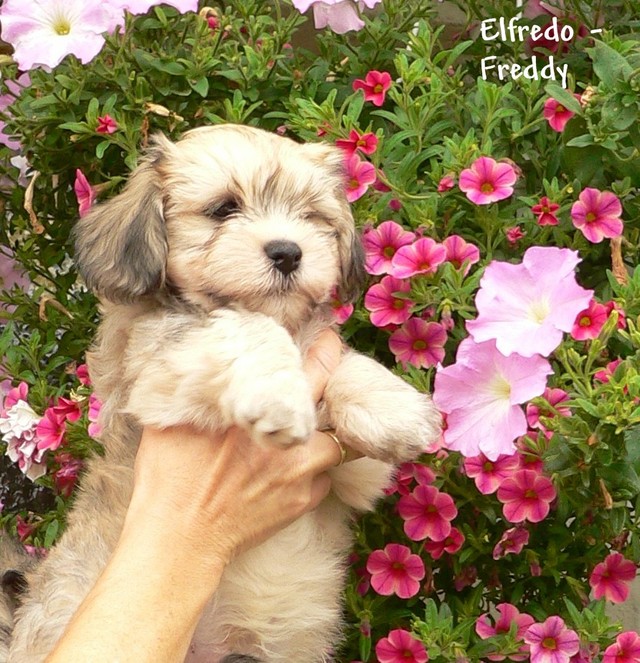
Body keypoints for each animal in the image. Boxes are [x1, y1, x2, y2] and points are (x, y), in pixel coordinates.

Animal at [7, 125, 441, 662]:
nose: (288, 252)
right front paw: (282, 395)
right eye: (223, 209)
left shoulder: (357, 476)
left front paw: (394, 408)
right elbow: (245, 330)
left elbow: (348, 363)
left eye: (310, 217)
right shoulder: (158, 364)